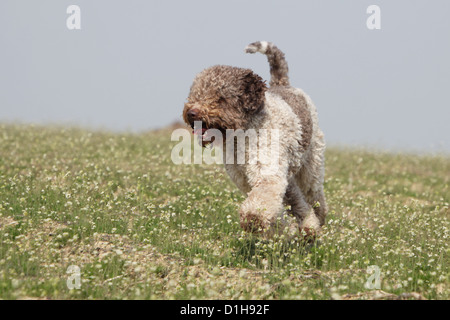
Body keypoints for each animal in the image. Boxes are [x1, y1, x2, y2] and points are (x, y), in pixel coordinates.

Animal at [182, 41, 326, 238]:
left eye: (221, 98)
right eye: (196, 94)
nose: (191, 113)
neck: (242, 136)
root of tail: (283, 84)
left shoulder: (266, 171)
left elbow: (263, 199)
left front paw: (254, 220)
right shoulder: (246, 179)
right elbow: (274, 204)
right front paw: (280, 229)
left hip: (310, 165)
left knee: (313, 195)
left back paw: (317, 221)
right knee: (296, 199)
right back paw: (308, 227)